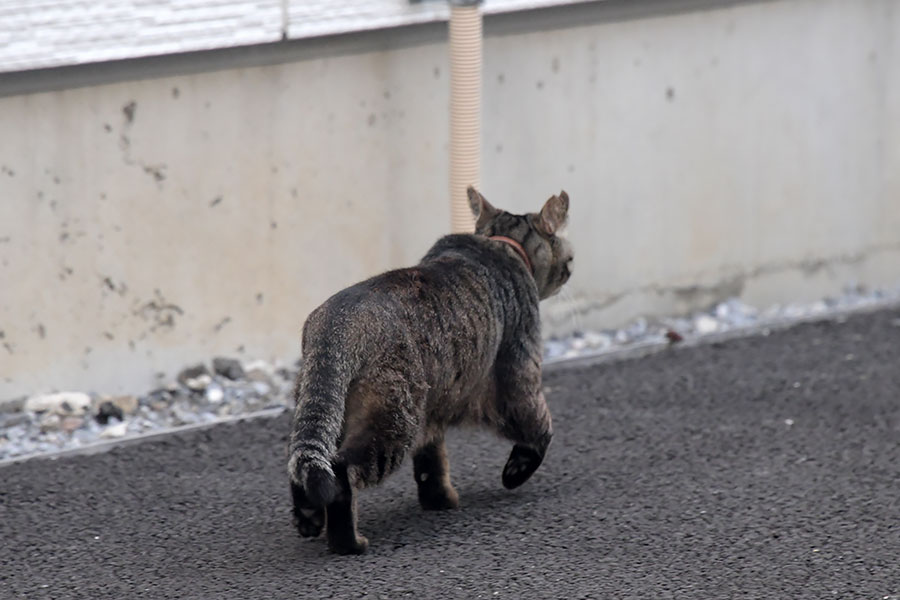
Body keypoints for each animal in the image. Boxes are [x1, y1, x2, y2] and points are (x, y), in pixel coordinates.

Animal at [284, 186, 572, 552]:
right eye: (570, 260)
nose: (570, 271)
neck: (500, 242)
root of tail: (337, 322)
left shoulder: (434, 409)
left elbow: (431, 461)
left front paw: (439, 499)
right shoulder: (519, 374)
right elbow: (540, 429)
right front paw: (516, 470)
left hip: (326, 407)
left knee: (300, 462)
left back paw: (308, 517)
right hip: (394, 418)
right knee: (341, 471)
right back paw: (347, 542)